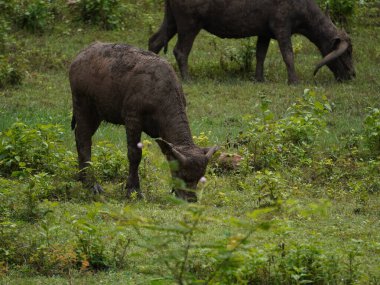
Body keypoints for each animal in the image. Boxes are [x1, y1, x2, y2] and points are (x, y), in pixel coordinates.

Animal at [68, 42, 217, 202]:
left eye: (200, 178)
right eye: (182, 174)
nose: (191, 199)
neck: (160, 93)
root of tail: (80, 56)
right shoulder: (132, 118)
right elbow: (134, 154)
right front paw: (133, 189)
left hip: (97, 112)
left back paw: (82, 177)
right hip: (82, 104)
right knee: (83, 139)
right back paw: (91, 183)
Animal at [149, 0, 356, 83]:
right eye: (347, 52)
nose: (352, 75)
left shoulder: (264, 33)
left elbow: (260, 55)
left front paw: (259, 78)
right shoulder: (282, 28)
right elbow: (288, 55)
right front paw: (294, 81)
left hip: (172, 21)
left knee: (154, 41)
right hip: (189, 24)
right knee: (180, 51)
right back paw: (187, 78)